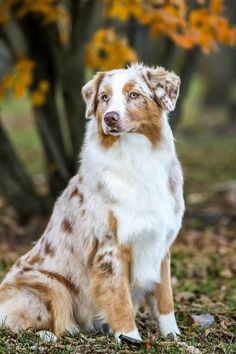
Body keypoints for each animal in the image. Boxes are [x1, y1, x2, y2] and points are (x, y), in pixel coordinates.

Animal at [0, 63, 184, 342]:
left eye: (134, 94)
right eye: (104, 97)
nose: (110, 117)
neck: (136, 157)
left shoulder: (161, 245)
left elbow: (165, 298)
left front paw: (172, 336)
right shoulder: (110, 247)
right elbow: (120, 300)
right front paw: (131, 339)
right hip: (51, 285)